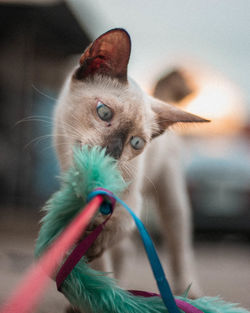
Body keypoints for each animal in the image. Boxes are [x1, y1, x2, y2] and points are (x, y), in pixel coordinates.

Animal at [53, 28, 208, 298]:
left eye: (136, 143)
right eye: (104, 113)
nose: (112, 153)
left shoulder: (128, 201)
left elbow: (112, 233)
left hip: (171, 199)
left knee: (177, 244)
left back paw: (187, 292)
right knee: (125, 251)